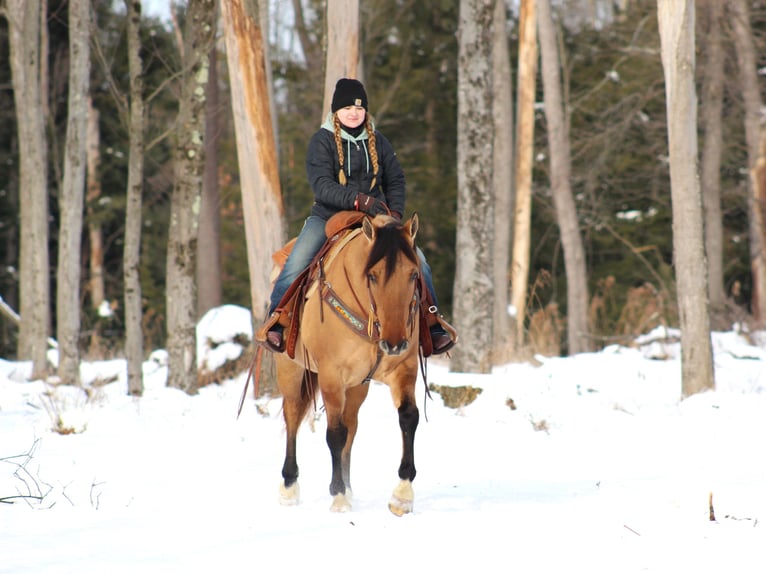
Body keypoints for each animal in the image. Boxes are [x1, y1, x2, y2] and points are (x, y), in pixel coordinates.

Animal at [276, 215, 424, 516]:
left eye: (414, 274)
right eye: (373, 275)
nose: (394, 343)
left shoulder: (404, 368)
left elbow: (408, 417)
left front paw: (402, 495)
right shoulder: (331, 376)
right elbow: (334, 433)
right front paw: (339, 497)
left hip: (357, 386)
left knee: (352, 424)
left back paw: (349, 485)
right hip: (291, 370)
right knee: (293, 415)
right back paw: (289, 487)